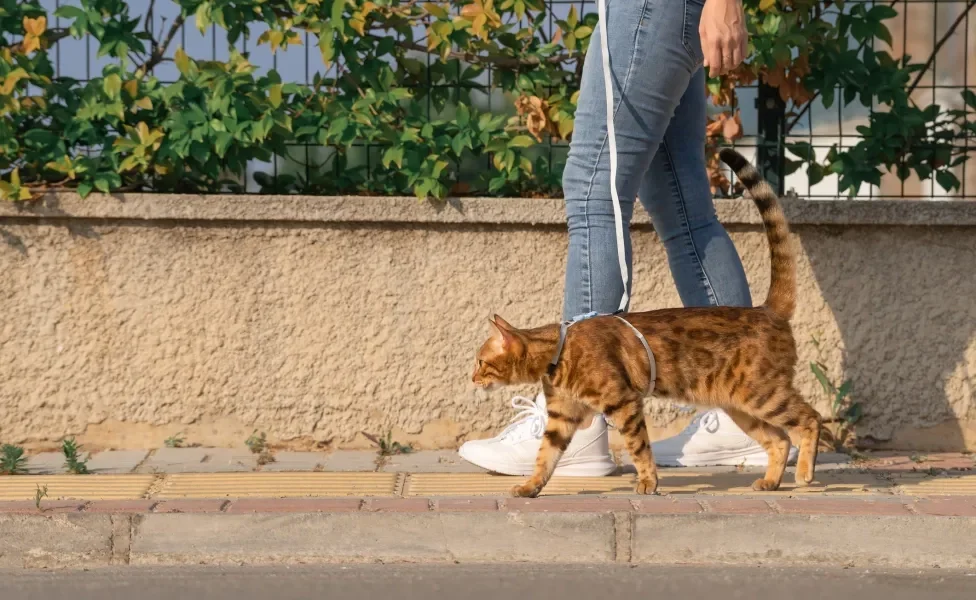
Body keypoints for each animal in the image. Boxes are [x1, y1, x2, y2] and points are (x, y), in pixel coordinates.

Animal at [468, 149, 820, 496]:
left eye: (481, 362)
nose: (472, 379)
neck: (560, 352)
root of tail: (767, 309)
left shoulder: (623, 402)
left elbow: (638, 447)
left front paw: (648, 481)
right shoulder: (561, 416)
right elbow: (545, 456)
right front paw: (530, 486)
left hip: (762, 393)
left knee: (811, 419)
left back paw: (805, 473)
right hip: (740, 404)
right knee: (779, 439)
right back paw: (771, 481)